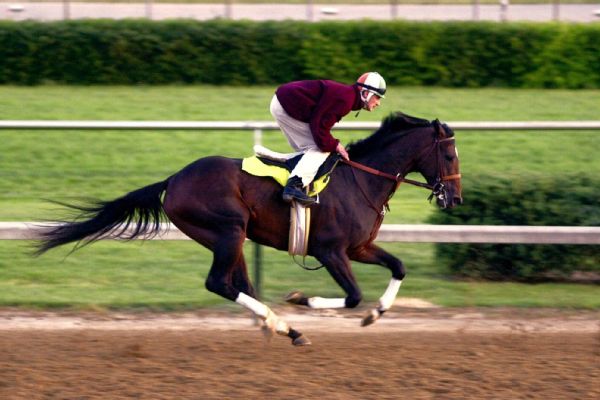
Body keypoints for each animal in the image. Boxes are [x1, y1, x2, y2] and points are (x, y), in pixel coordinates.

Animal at [35, 111, 462, 344]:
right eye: (449, 154)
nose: (455, 198)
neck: (361, 179)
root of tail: (173, 179)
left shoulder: (358, 248)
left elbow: (398, 267)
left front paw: (377, 314)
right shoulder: (330, 251)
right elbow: (353, 295)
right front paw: (301, 299)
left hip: (231, 237)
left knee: (238, 284)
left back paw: (283, 328)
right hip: (228, 229)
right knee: (220, 283)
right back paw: (284, 323)